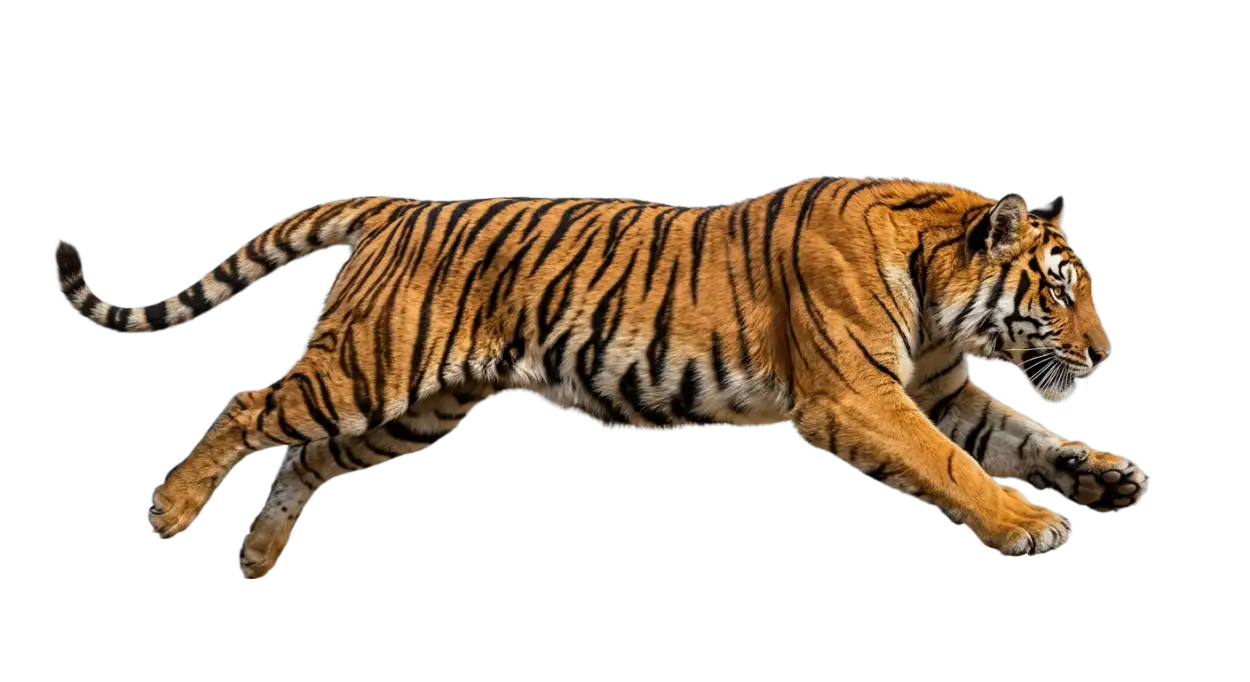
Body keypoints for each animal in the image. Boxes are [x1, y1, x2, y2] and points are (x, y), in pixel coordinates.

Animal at [52, 176, 1148, 577]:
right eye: (1059, 292)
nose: (1104, 354)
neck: (933, 284)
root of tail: (395, 203)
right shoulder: (862, 396)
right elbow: (955, 466)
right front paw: (1029, 525)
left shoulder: (936, 387)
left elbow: (1023, 437)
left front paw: (1102, 477)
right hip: (369, 368)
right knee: (248, 406)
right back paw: (174, 511)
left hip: (416, 408)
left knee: (307, 460)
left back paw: (259, 552)